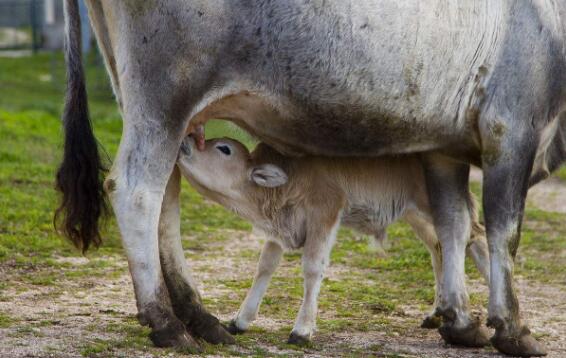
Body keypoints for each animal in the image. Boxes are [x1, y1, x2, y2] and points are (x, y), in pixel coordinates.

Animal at [56, 0, 566, 356]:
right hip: (165, 93)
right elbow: (503, 233)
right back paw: (165, 321)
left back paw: (200, 317)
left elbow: (454, 226)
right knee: (137, 191)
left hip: (145, 99)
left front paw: (460, 321)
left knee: (168, 199)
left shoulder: (443, 150)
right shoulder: (511, 128)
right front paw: (512, 328)